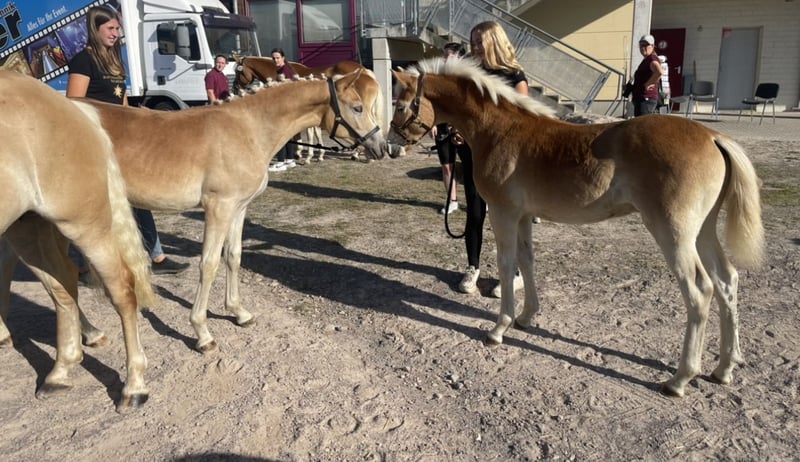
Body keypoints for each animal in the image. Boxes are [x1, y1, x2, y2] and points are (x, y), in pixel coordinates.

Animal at [0, 69, 389, 354]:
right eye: (356, 107)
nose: (381, 147)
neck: (247, 128)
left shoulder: (238, 208)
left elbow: (234, 257)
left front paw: (239, 313)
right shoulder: (218, 208)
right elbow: (210, 264)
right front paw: (202, 332)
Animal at [0, 71, 155, 411]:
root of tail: (74, 109)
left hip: (84, 225)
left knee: (120, 290)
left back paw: (133, 387)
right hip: (26, 225)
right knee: (61, 285)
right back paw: (60, 371)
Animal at [233, 56, 405, 161]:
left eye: (237, 71)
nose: (235, 87)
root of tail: (366, 72)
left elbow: (306, 133)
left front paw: (305, 155)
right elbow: (313, 132)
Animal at [388, 58, 764, 397]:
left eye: (401, 104)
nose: (391, 147)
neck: (499, 130)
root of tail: (714, 137)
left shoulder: (504, 213)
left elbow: (507, 267)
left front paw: (499, 328)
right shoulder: (523, 216)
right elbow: (527, 261)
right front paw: (526, 317)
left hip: (673, 234)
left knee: (700, 292)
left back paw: (680, 379)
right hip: (702, 231)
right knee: (727, 280)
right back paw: (724, 368)